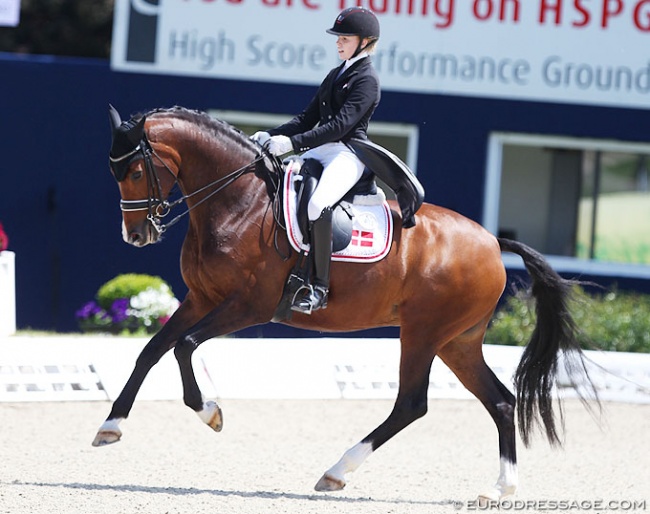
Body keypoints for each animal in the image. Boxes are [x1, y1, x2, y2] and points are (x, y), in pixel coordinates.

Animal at [93, 105, 596, 500]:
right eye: (115, 173)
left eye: (135, 171)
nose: (136, 235)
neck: (239, 203)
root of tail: (492, 241)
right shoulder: (201, 299)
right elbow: (151, 351)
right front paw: (111, 425)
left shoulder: (249, 306)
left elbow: (183, 348)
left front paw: (210, 413)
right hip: (458, 342)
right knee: (501, 402)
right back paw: (500, 489)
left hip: (424, 333)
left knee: (412, 404)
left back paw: (336, 472)